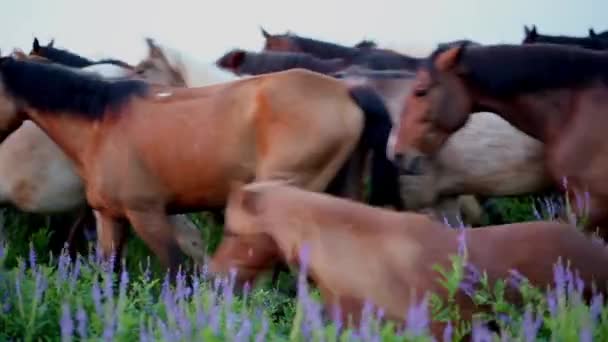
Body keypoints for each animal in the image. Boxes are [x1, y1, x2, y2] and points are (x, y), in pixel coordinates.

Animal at [0, 56, 400, 280]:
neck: (101, 124)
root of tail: (348, 91)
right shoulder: (109, 218)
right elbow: (109, 275)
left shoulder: (148, 213)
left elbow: (177, 271)